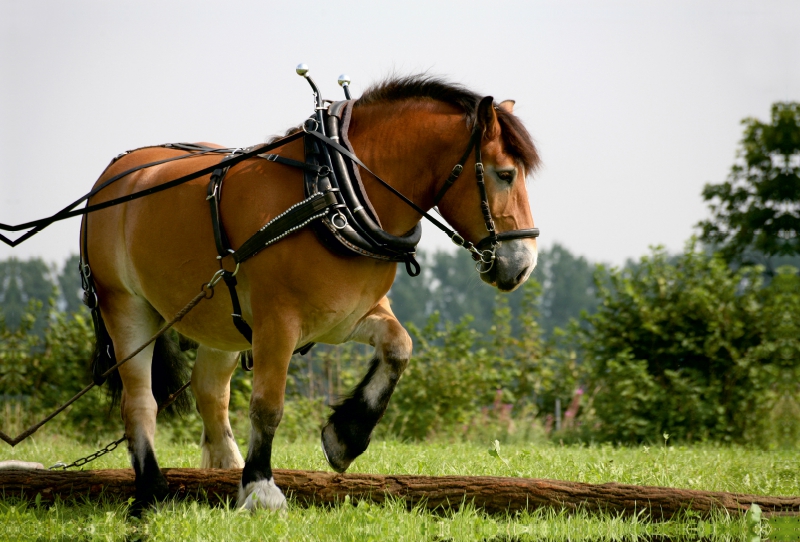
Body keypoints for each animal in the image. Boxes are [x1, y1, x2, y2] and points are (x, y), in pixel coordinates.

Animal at [83, 76, 536, 516]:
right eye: (505, 174)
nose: (525, 264)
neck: (332, 192)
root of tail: (113, 175)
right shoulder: (277, 323)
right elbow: (267, 405)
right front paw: (262, 489)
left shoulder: (349, 315)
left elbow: (398, 347)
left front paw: (345, 436)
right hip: (124, 306)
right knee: (140, 403)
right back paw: (152, 492)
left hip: (221, 323)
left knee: (209, 391)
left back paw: (224, 469)